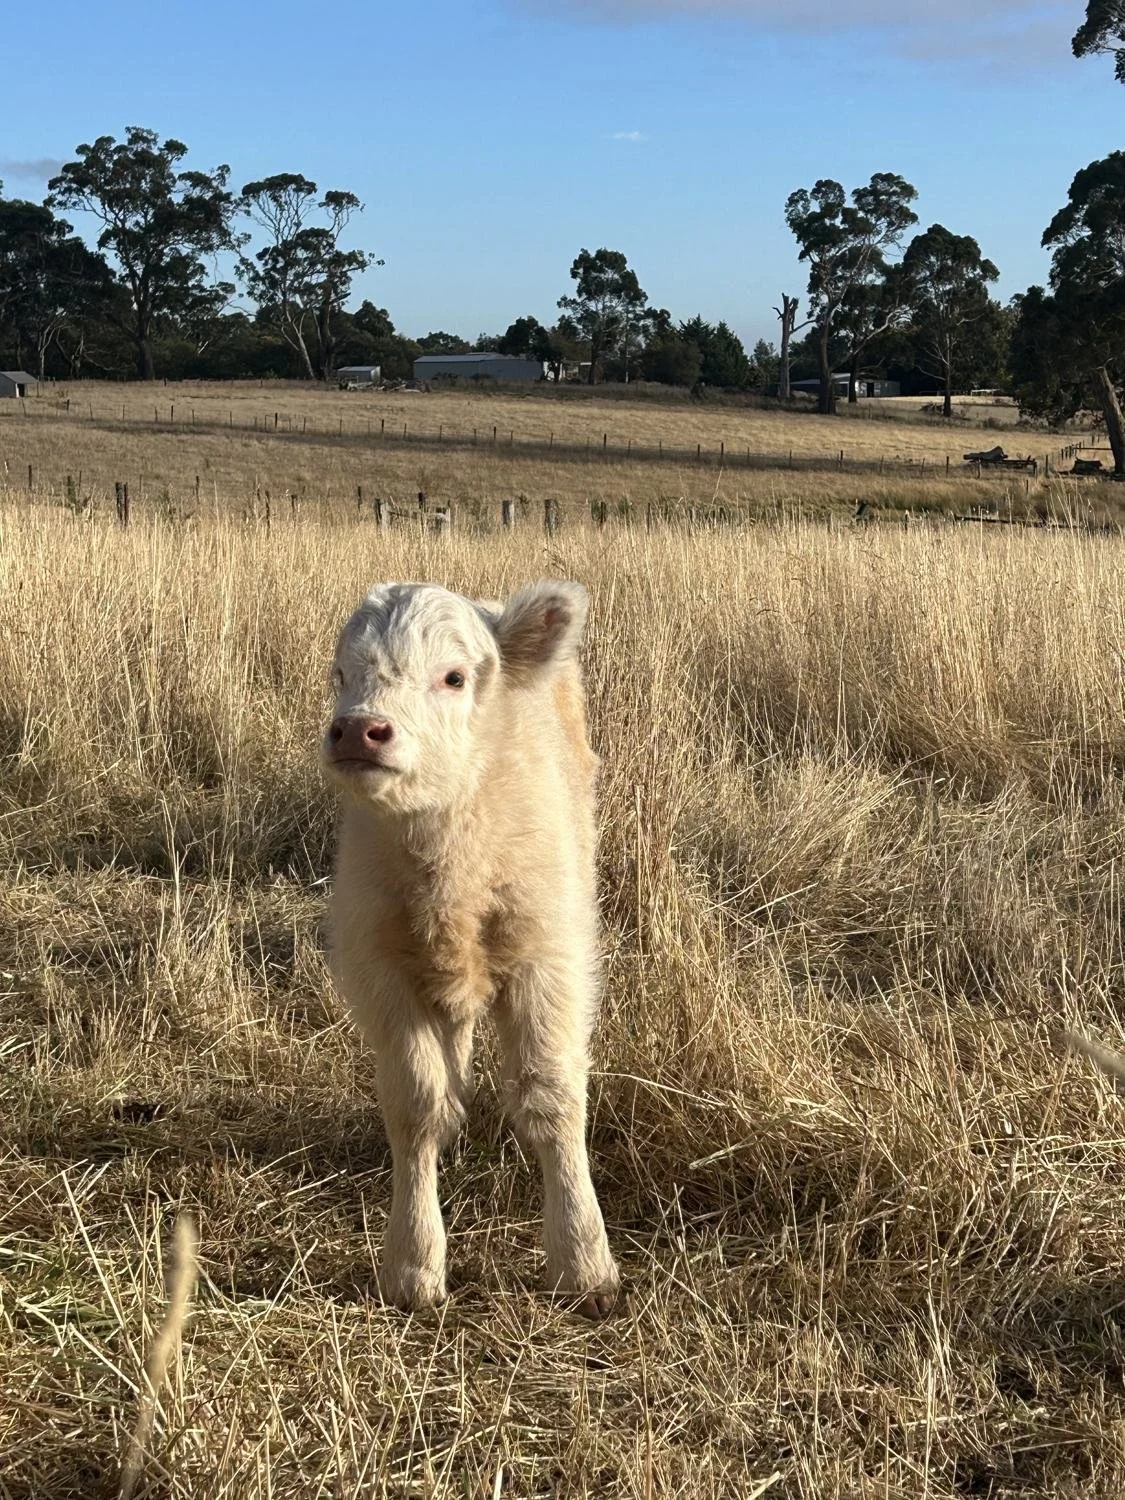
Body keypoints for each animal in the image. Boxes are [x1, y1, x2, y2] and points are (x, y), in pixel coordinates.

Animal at [322, 579, 620, 1318]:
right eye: (341, 675)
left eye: (453, 677)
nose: (358, 729)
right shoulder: (380, 971)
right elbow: (416, 1103)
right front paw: (413, 1265)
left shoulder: (552, 960)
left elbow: (552, 1096)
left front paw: (583, 1262)